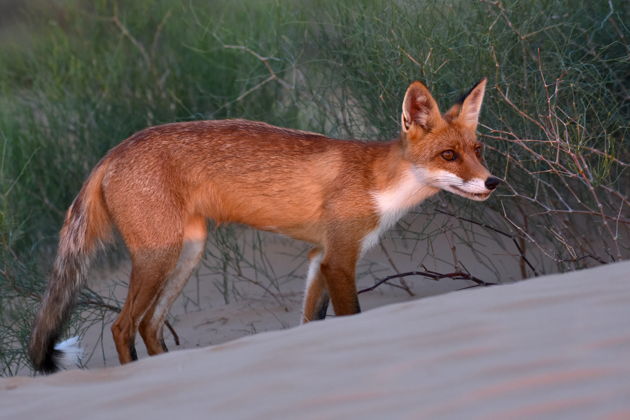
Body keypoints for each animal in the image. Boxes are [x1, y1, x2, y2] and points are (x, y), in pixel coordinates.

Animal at [29, 77, 502, 372]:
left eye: (477, 150)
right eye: (448, 156)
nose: (492, 182)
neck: (379, 182)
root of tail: (113, 151)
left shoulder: (319, 257)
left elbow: (311, 326)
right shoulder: (339, 259)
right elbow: (352, 319)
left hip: (187, 253)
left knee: (148, 325)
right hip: (158, 257)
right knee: (122, 326)